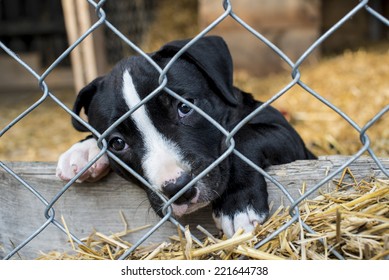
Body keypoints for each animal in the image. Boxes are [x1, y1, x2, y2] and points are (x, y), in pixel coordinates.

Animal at [55, 35, 316, 236]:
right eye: (117, 143)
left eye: (184, 107)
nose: (178, 188)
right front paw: (83, 150)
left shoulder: (287, 135)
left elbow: (245, 137)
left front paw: (238, 204)